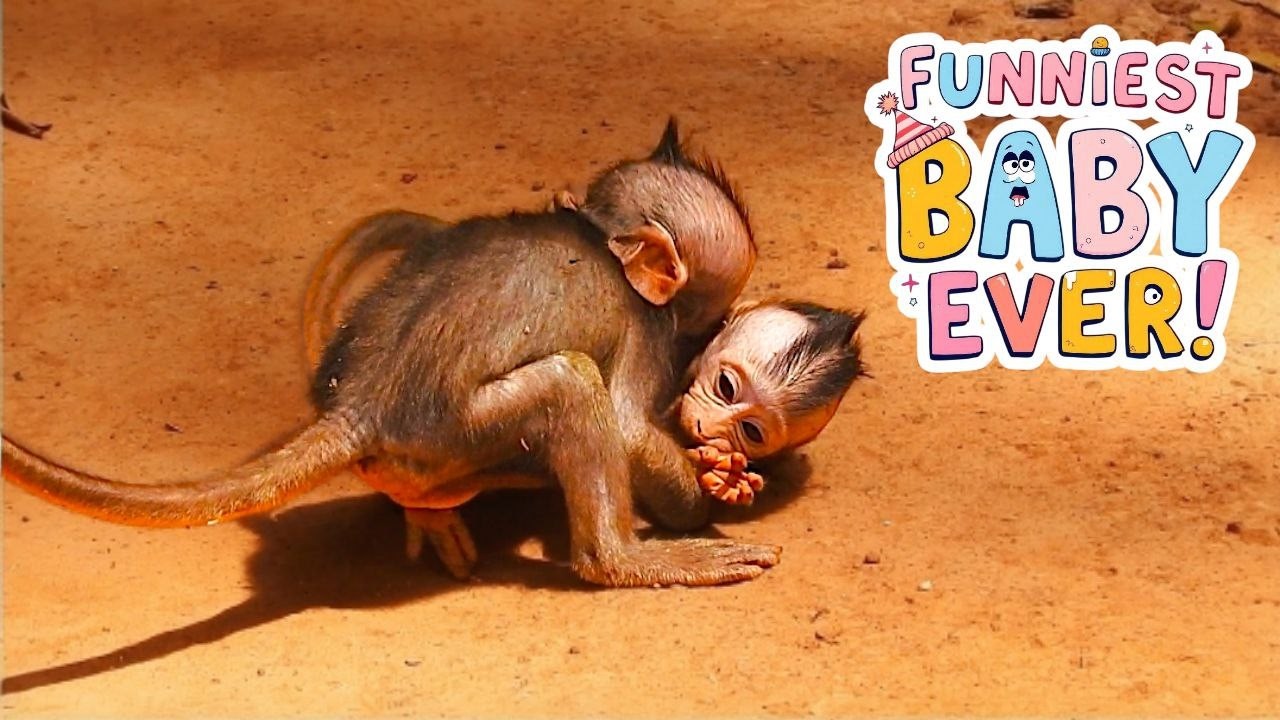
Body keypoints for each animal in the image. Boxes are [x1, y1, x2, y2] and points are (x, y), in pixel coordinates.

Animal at [3, 119, 780, 588]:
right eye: (703, 317)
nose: (712, 334)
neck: (598, 235)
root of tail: (359, 405)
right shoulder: (645, 332)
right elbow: (624, 423)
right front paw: (709, 488)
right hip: (460, 433)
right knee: (569, 382)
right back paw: (622, 560)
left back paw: (429, 513)